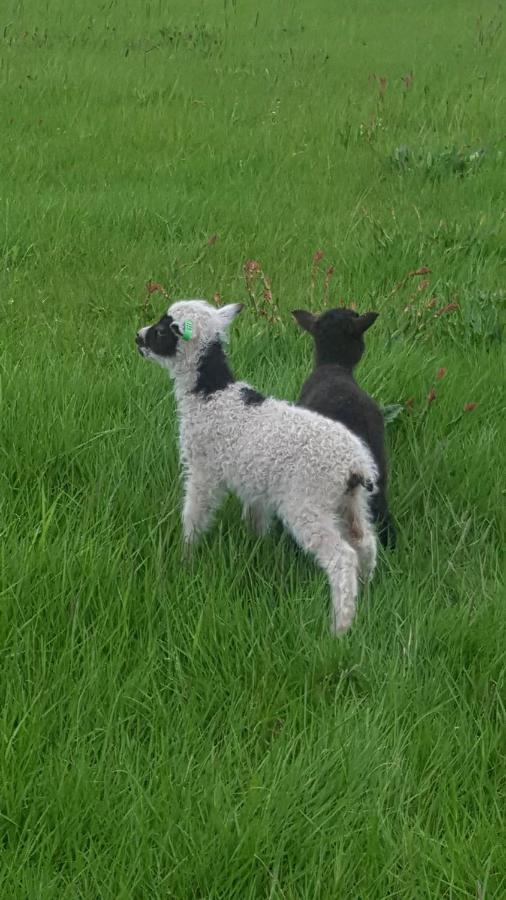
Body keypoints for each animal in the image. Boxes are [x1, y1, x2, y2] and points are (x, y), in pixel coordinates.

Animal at [136, 300, 378, 632]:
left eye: (161, 331)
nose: (138, 337)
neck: (210, 392)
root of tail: (355, 466)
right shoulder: (254, 482)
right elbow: (255, 519)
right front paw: (258, 545)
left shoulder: (203, 469)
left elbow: (194, 514)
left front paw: (186, 558)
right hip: (351, 501)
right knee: (365, 543)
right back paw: (364, 595)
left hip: (307, 501)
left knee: (342, 556)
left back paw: (339, 627)